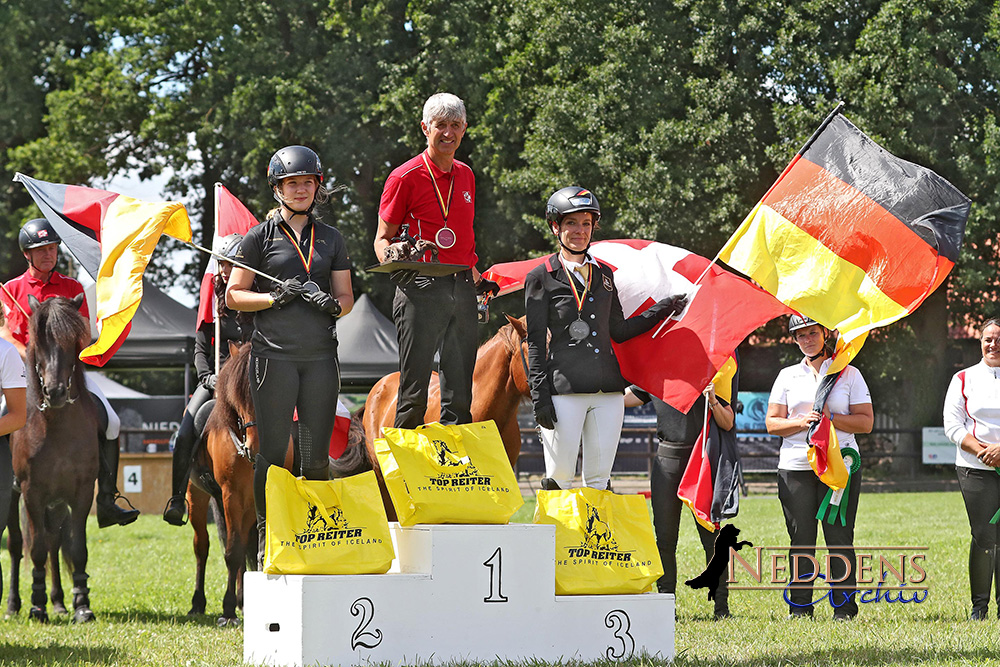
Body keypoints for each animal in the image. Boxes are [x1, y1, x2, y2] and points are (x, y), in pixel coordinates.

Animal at [5, 294, 96, 624]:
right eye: (40, 340)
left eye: (72, 340)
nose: (54, 392)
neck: (56, 426)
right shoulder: (32, 493)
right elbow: (36, 550)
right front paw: (37, 605)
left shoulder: (82, 493)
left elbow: (77, 548)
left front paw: (82, 604)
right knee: (18, 545)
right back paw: (15, 604)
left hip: (55, 504)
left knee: (54, 542)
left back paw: (58, 601)